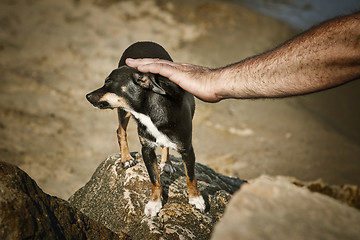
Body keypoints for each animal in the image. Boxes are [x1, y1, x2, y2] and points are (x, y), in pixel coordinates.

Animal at [86, 41, 205, 218]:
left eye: (108, 82)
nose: (87, 96)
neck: (149, 111)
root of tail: (142, 42)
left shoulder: (187, 149)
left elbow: (191, 176)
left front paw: (196, 198)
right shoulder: (147, 149)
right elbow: (154, 179)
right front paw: (154, 203)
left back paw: (166, 162)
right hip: (123, 112)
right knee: (120, 131)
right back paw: (126, 158)